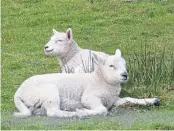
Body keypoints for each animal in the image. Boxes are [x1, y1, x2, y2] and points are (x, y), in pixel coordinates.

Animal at [13, 49, 159, 118]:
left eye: (125, 64)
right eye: (111, 66)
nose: (125, 75)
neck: (100, 80)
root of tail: (19, 92)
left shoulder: (113, 99)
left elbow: (129, 99)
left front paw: (153, 100)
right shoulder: (89, 97)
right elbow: (102, 110)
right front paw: (83, 111)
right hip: (49, 92)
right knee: (52, 112)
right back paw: (73, 113)